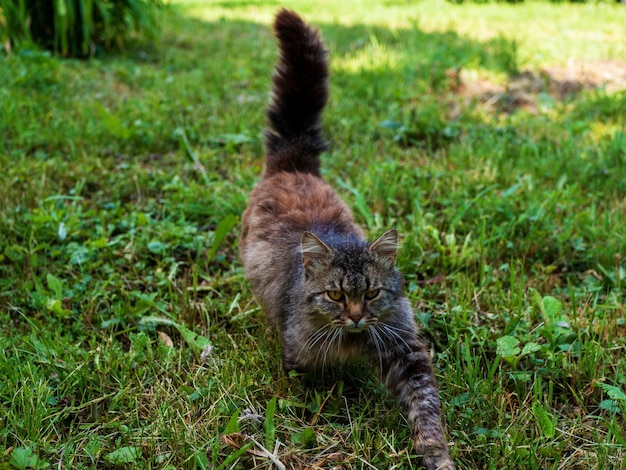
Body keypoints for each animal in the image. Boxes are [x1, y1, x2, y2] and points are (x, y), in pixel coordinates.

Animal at [239, 8, 454, 470]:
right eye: (336, 296)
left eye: (371, 293)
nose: (355, 316)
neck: (352, 340)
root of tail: (294, 161)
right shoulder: (298, 356)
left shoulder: (405, 350)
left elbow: (425, 408)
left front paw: (436, 455)